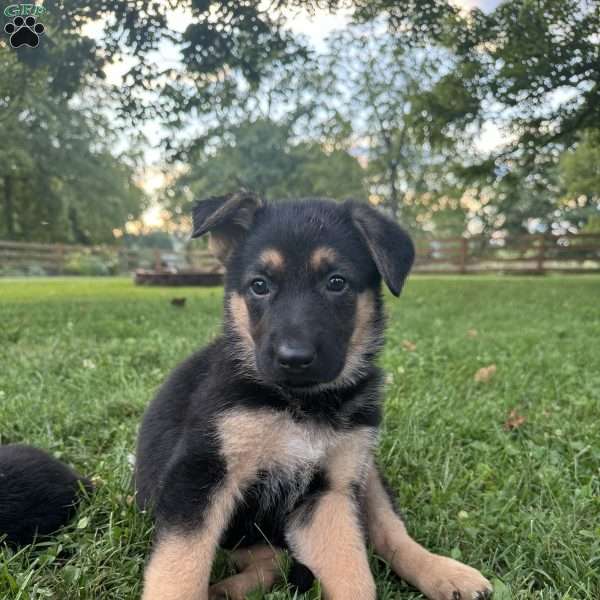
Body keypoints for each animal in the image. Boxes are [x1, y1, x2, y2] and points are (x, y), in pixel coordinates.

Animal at [136, 192, 492, 600]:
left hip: (362, 471)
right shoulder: (200, 475)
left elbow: (354, 576)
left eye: (336, 283)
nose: (294, 359)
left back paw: (445, 573)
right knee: (273, 559)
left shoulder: (327, 494)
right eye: (259, 285)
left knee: (388, 534)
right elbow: (179, 570)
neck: (299, 403)